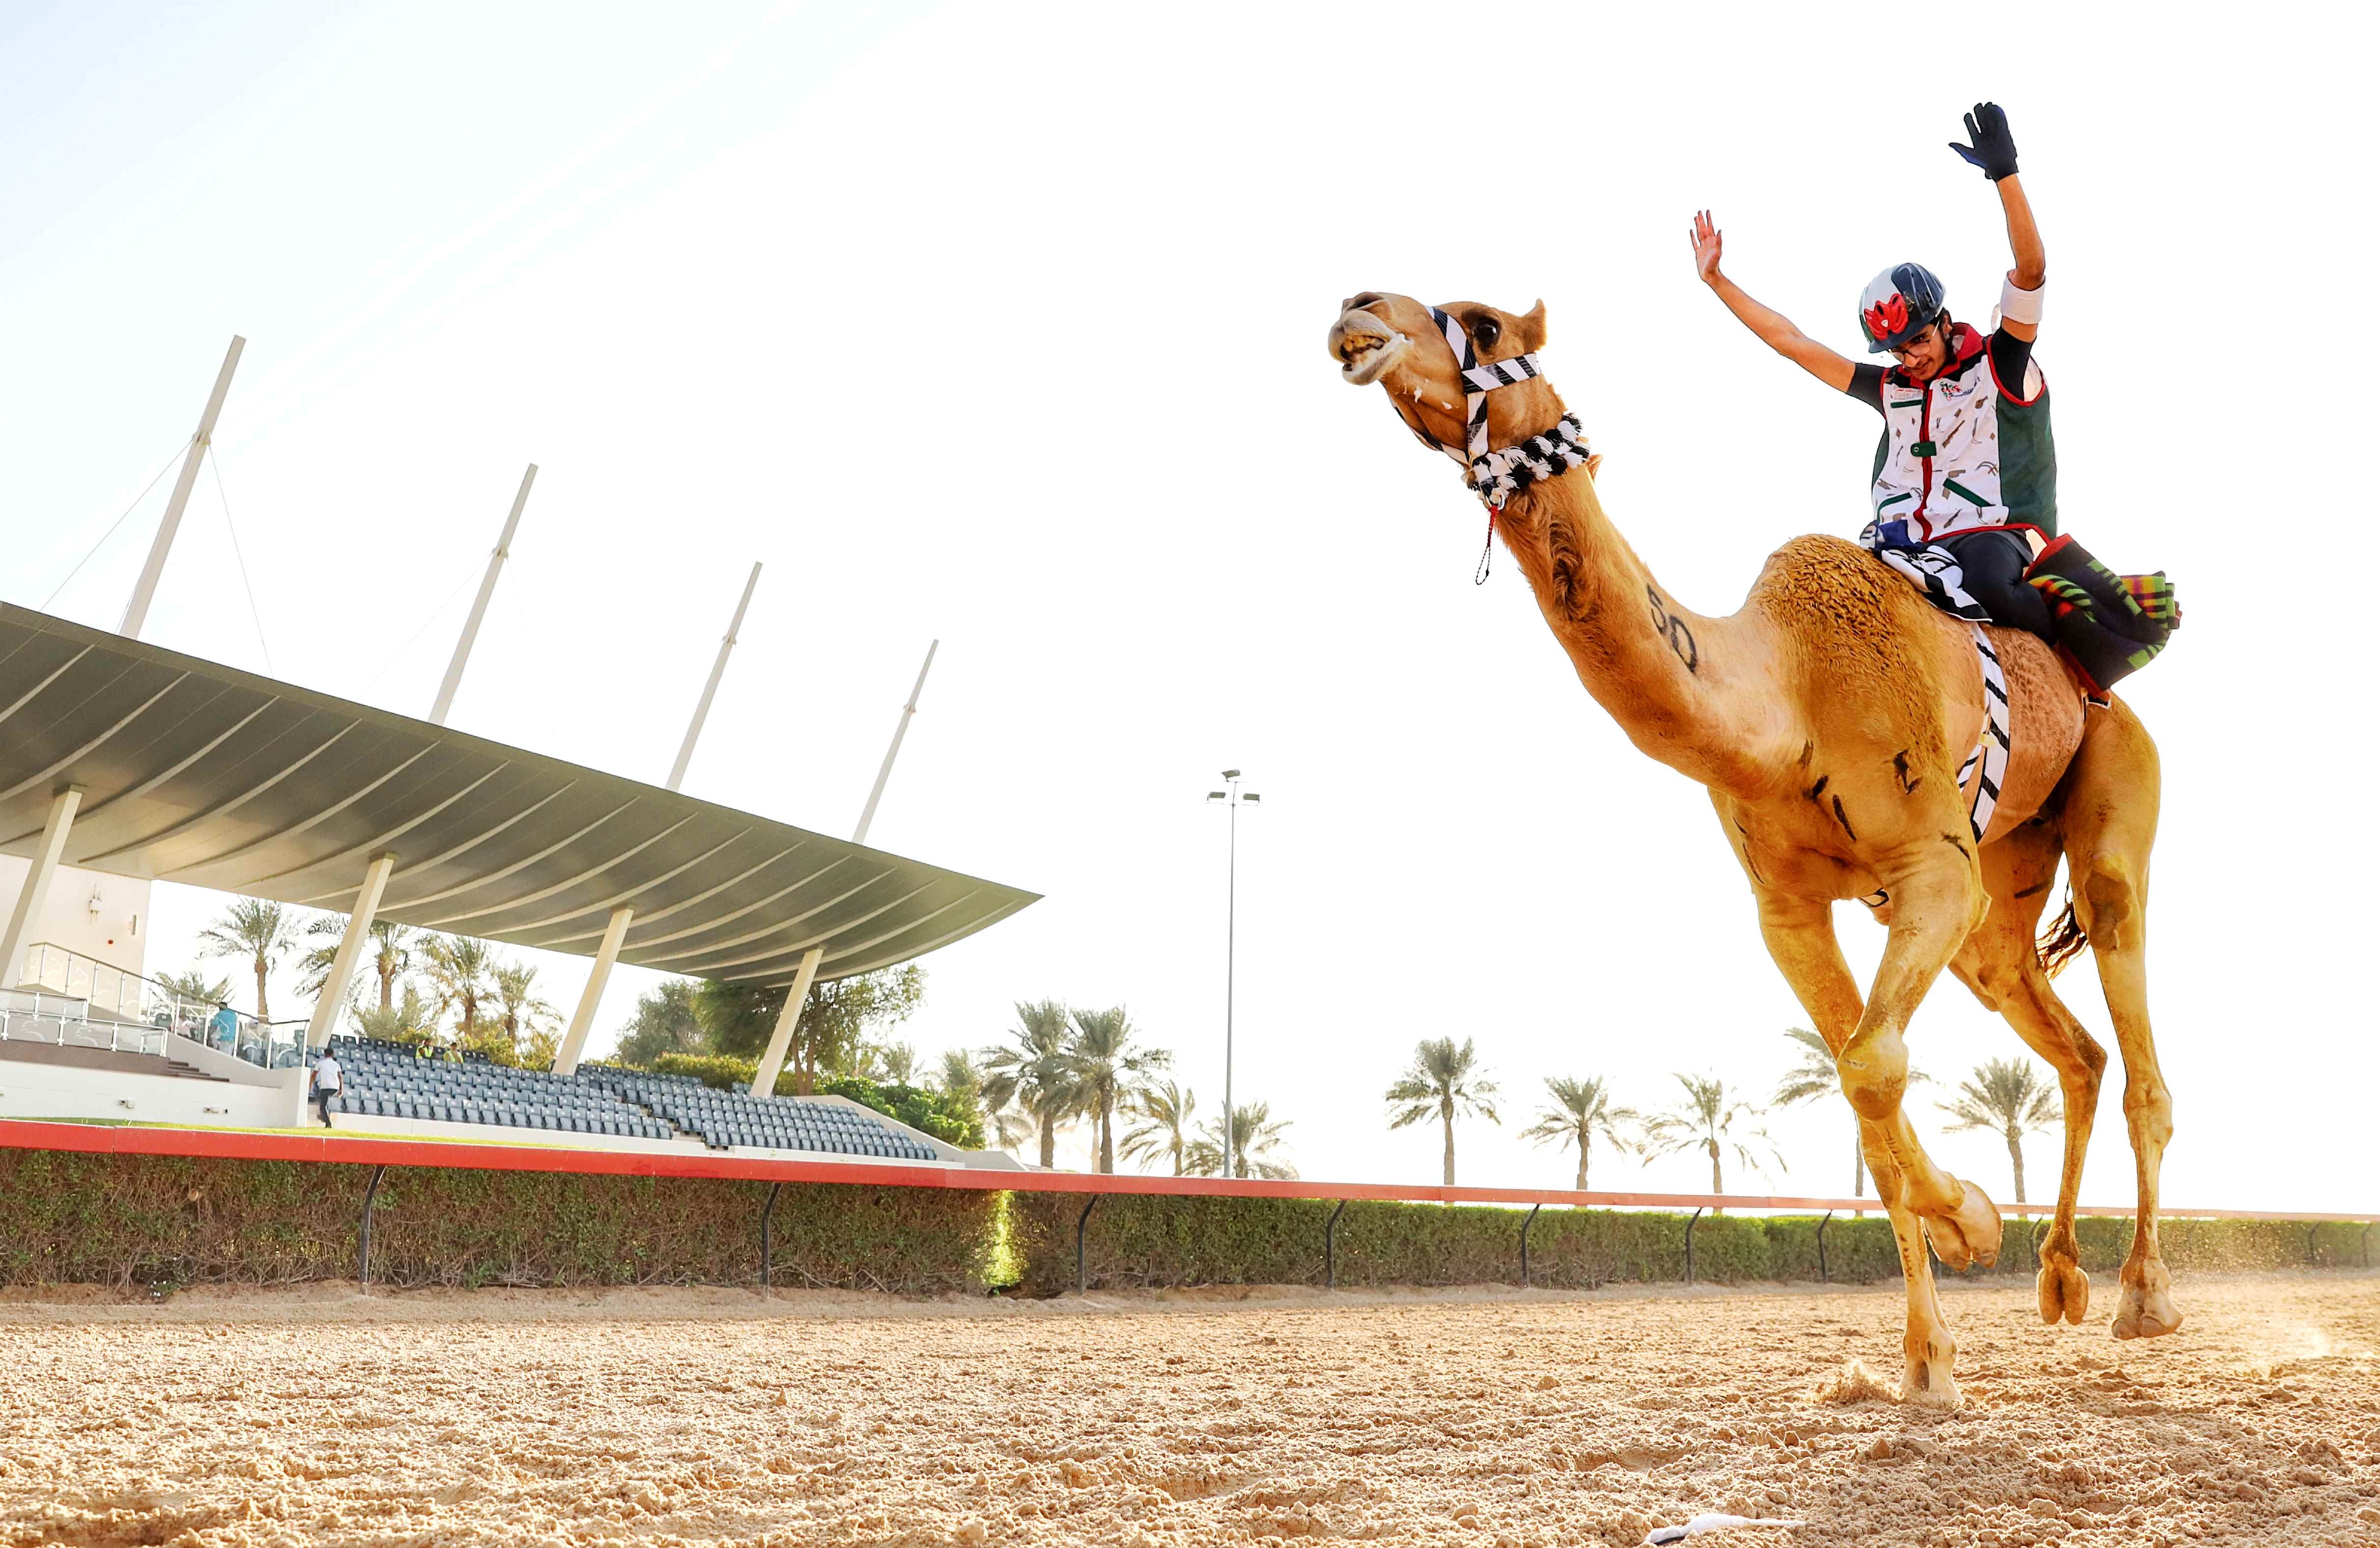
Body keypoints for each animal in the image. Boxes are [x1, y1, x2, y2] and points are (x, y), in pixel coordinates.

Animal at [1323, 290, 2180, 1407]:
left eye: (1484, 322)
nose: (1359, 311)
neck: (1786, 704)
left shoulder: (1928, 866)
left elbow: (1869, 1067)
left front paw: (1958, 1258)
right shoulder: (1788, 907)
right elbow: (1864, 1089)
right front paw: (1939, 1317)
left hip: (2111, 785)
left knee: (2130, 1008)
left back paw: (2143, 1297)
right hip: (2002, 887)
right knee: (2067, 1041)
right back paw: (2060, 1277)